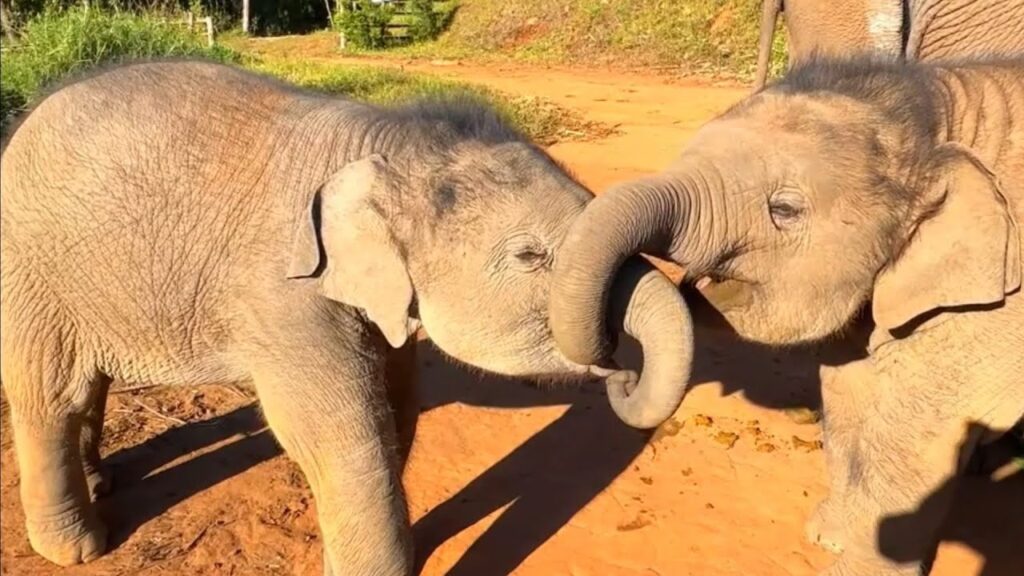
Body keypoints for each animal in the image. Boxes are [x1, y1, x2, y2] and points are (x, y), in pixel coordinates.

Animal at [0, 60, 694, 575]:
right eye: (530, 257)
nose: (621, 375)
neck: (381, 143)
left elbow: (398, 403)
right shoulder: (283, 291)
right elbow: (339, 429)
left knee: (85, 386)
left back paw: (103, 483)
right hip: (29, 272)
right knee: (50, 394)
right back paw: (75, 549)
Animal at [550, 57, 1024, 575]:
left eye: (785, 209)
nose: (621, 372)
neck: (939, 118)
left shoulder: (994, 306)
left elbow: (920, 431)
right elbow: (846, 391)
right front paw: (827, 534)